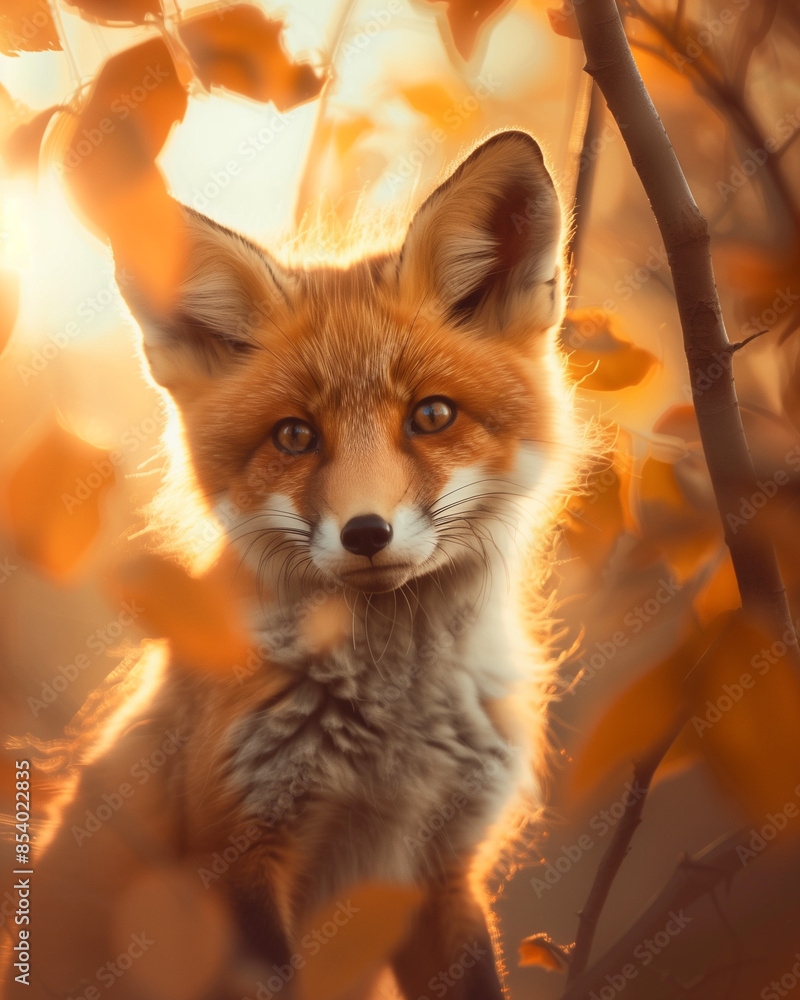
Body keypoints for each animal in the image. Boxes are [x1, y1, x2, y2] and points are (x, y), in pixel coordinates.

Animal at [2, 130, 580, 1000]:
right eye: (295, 436)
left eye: (431, 415)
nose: (367, 532)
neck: (392, 750)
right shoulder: (232, 862)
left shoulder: (442, 870)